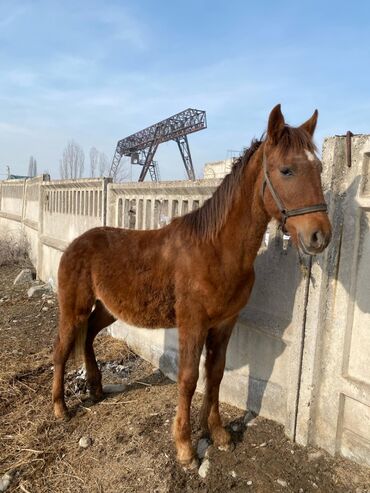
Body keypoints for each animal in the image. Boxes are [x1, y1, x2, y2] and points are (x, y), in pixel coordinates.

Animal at [52, 104, 332, 466]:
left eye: (319, 167)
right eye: (286, 170)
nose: (319, 236)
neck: (214, 249)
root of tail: (77, 243)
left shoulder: (224, 324)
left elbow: (215, 375)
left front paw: (219, 433)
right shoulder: (193, 324)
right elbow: (188, 379)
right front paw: (185, 447)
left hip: (106, 309)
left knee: (87, 338)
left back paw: (96, 389)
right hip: (73, 308)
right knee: (61, 349)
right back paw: (60, 408)